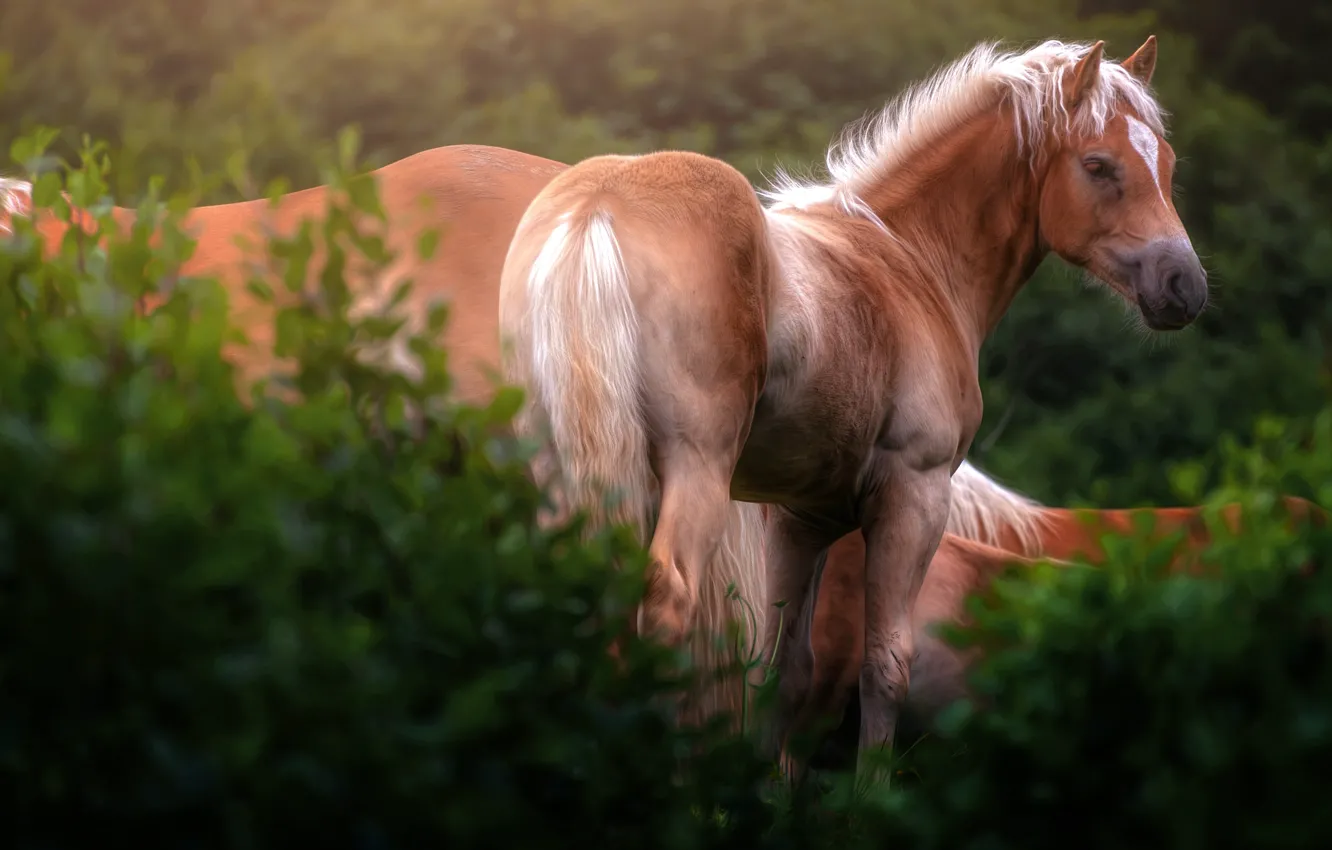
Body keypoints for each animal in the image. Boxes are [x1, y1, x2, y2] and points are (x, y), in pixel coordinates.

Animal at [496, 34, 1209, 775]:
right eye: (1099, 165)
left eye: (1166, 162)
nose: (1183, 285)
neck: (910, 258)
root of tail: (596, 207)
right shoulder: (914, 495)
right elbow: (884, 668)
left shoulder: (799, 518)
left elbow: (785, 672)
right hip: (695, 470)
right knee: (667, 608)